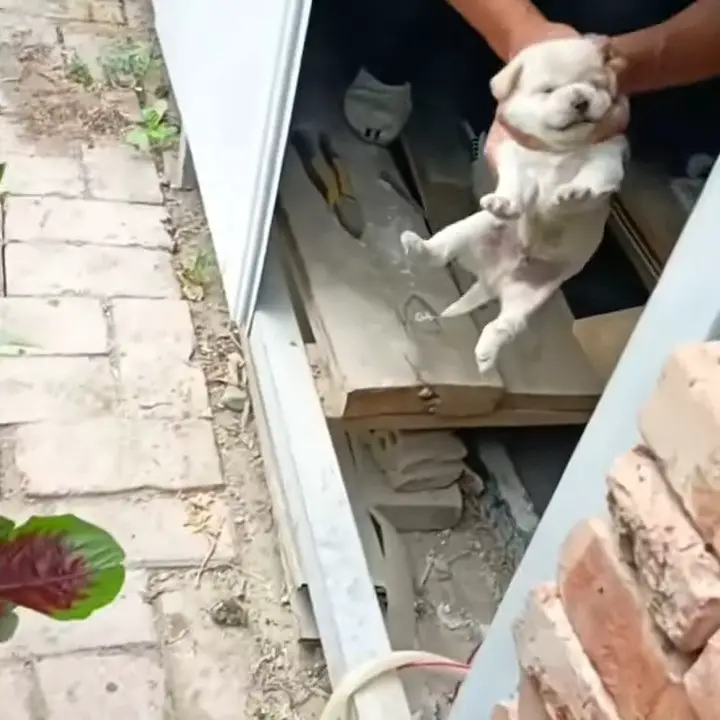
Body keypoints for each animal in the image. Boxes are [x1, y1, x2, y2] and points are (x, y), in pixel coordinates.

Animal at [402, 36, 628, 374]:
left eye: (595, 85)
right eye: (548, 89)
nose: (581, 100)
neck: (560, 150)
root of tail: (494, 279)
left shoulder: (608, 159)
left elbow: (592, 177)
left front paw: (574, 192)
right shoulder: (517, 161)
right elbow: (516, 185)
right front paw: (506, 202)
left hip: (528, 295)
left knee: (506, 325)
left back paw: (485, 354)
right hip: (473, 234)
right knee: (443, 247)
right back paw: (421, 247)